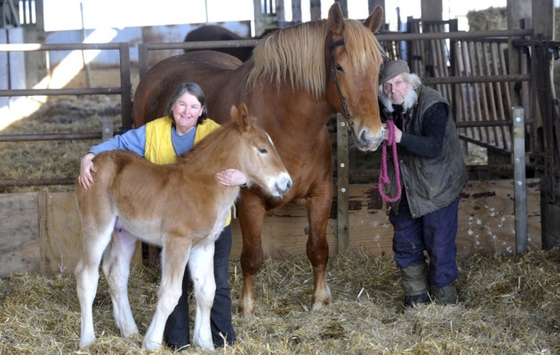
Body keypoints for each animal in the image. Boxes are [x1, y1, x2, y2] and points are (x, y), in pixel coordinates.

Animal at [75, 104, 294, 352]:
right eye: (263, 150)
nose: (286, 183)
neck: (204, 186)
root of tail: (93, 163)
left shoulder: (204, 245)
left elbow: (207, 292)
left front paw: (205, 344)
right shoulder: (177, 242)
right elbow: (170, 293)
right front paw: (151, 343)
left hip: (125, 232)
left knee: (116, 273)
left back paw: (129, 331)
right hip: (97, 225)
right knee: (86, 275)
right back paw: (88, 340)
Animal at [132, 2, 384, 318]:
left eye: (378, 67)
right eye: (339, 67)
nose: (372, 136)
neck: (287, 125)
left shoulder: (322, 195)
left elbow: (318, 248)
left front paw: (320, 300)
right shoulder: (250, 202)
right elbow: (252, 256)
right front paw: (247, 307)